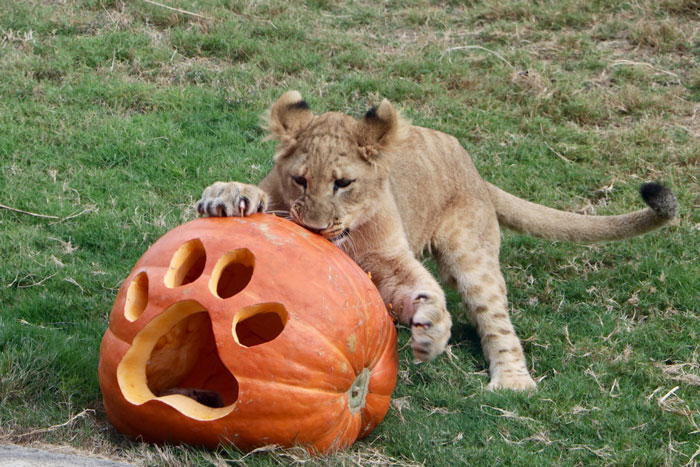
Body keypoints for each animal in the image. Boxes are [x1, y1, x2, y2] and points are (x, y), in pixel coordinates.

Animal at [196, 91, 678, 390]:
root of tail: (476, 171)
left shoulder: (391, 258)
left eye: (344, 183)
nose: (313, 229)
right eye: (300, 180)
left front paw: (432, 332)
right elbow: (253, 192)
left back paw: (513, 383)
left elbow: (421, 288)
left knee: (495, 318)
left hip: (471, 253)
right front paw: (227, 195)